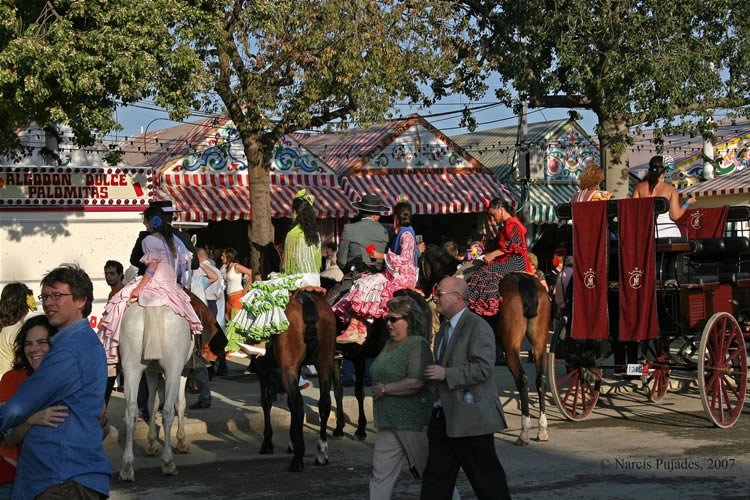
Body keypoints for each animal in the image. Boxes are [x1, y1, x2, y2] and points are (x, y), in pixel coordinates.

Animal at [118, 300, 194, 480]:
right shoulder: (184, 370)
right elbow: (180, 403)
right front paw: (181, 441)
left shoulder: (151, 372)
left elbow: (151, 403)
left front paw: (151, 444)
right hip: (173, 367)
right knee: (167, 411)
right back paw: (168, 463)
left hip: (132, 367)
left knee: (131, 410)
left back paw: (127, 467)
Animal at [251, 242, 340, 468]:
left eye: (260, 259)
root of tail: (307, 300)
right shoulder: (299, 367)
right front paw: (291, 439)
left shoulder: (264, 369)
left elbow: (267, 402)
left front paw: (268, 442)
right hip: (324, 363)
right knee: (324, 403)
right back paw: (321, 452)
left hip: (288, 368)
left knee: (298, 404)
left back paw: (299, 457)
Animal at [420, 244, 556, 444]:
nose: (420, 287)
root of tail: (526, 283)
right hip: (539, 343)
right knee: (541, 379)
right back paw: (542, 428)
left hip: (511, 346)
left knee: (522, 379)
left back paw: (524, 430)